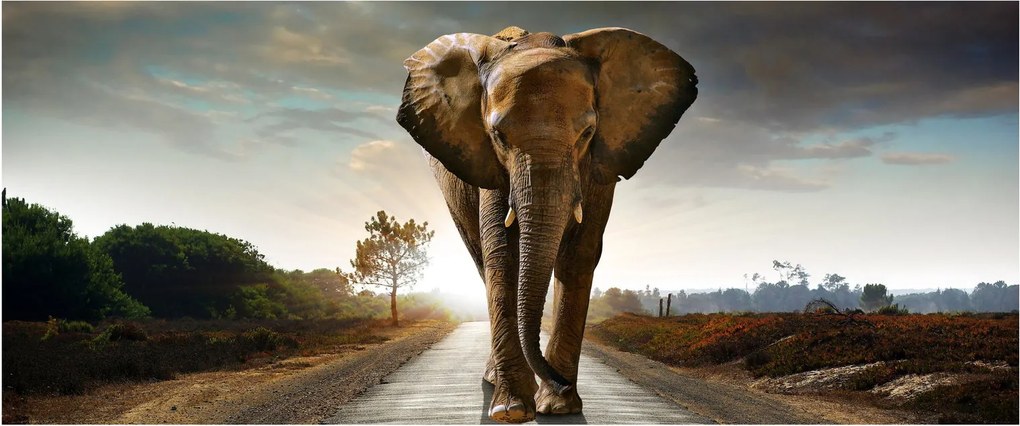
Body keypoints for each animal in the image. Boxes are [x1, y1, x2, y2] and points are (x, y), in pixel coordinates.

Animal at [396, 26, 697, 423]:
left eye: (587, 133)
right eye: (498, 136)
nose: (560, 382)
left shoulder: (600, 164)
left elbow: (579, 254)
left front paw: (559, 406)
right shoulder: (490, 166)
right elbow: (503, 254)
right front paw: (511, 410)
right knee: (481, 259)